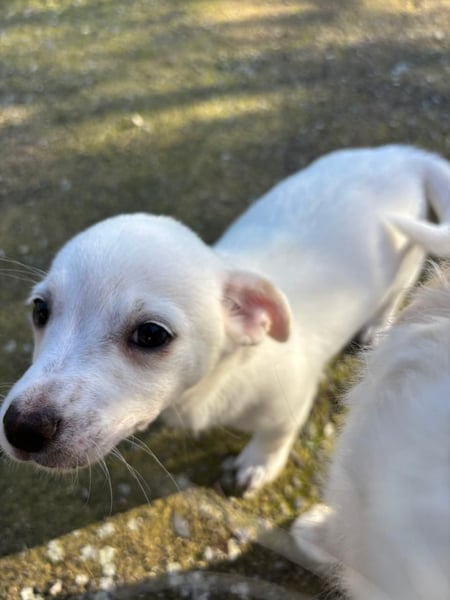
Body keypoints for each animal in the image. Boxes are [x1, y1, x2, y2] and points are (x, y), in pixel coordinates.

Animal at [0, 145, 449, 492]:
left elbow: (274, 435)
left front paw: (257, 465)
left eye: (151, 334)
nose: (20, 427)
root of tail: (402, 156)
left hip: (407, 263)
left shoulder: (289, 402)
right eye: (40, 310)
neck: (220, 380)